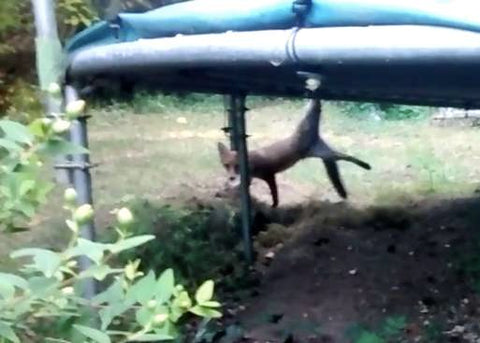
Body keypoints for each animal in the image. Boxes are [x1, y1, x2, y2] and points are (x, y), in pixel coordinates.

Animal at [218, 98, 372, 208]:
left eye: (237, 166)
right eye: (226, 165)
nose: (231, 177)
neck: (252, 164)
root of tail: (315, 136)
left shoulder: (269, 175)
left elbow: (274, 193)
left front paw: (274, 205)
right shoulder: (250, 178)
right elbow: (241, 187)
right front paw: (227, 192)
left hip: (316, 139)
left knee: (346, 156)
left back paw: (366, 165)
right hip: (325, 154)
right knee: (343, 158)